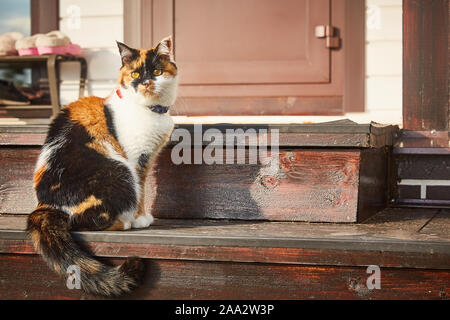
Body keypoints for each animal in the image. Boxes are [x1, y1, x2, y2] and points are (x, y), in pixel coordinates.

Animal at [25, 36, 178, 296]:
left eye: (157, 72)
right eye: (135, 74)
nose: (146, 83)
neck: (150, 111)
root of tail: (46, 206)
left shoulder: (147, 159)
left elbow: (145, 189)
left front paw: (143, 215)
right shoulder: (135, 158)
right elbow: (141, 192)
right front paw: (139, 218)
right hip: (118, 172)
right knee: (84, 221)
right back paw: (125, 222)